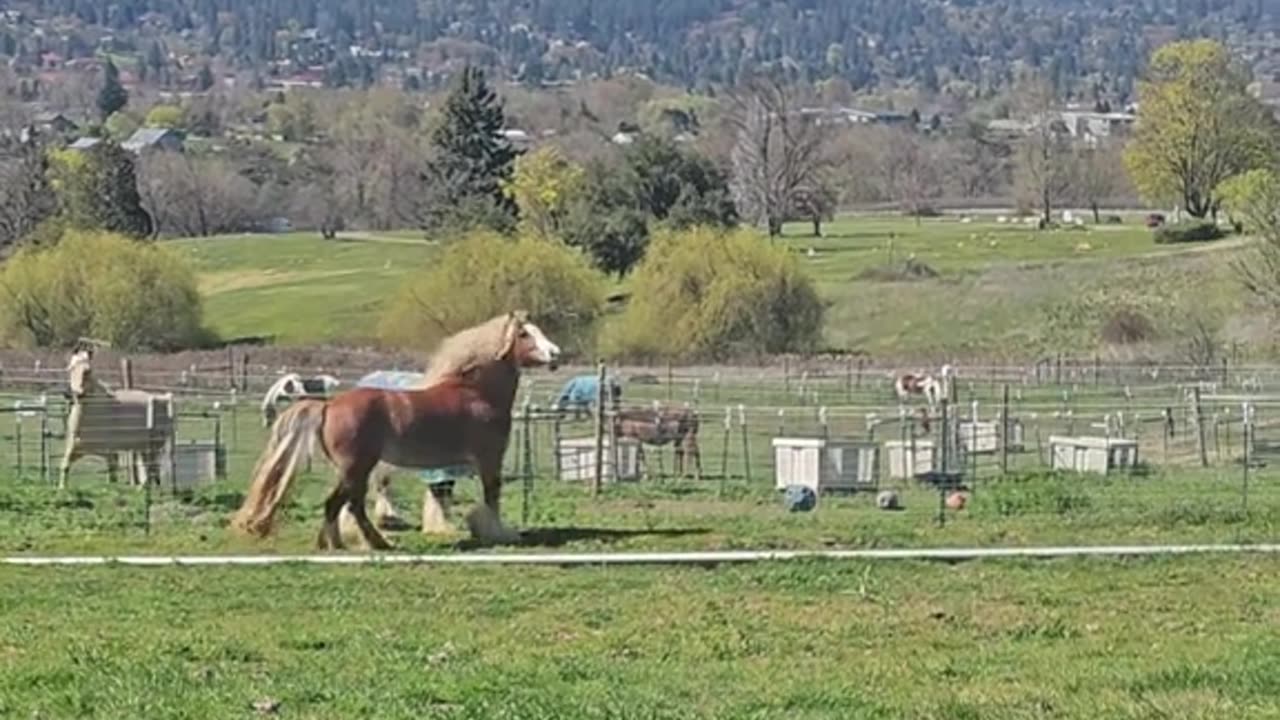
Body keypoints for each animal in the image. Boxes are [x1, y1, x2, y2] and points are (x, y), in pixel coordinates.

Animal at [60, 345, 174, 486]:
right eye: (70, 369)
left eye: (88, 371)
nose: (77, 394)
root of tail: (162, 399)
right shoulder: (74, 449)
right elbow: (64, 466)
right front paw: (61, 488)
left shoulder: (110, 453)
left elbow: (112, 477)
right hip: (143, 449)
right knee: (148, 471)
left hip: (153, 447)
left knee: (151, 471)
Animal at [232, 310, 563, 548]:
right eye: (524, 334)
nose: (556, 354)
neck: (476, 393)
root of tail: (329, 405)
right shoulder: (489, 458)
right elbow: (492, 495)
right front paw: (498, 532)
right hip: (357, 467)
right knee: (345, 504)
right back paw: (367, 543)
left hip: (354, 470)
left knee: (342, 505)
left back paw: (345, 543)